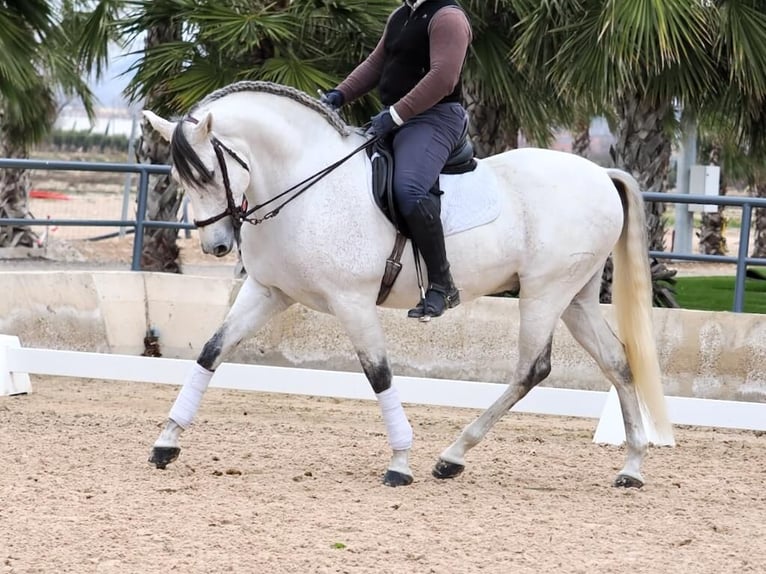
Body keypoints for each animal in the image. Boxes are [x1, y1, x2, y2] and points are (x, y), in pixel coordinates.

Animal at [142, 81, 672, 488]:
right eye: (180, 178)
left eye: (209, 174)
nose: (216, 247)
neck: (308, 187)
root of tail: (600, 172)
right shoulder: (268, 292)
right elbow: (211, 351)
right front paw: (166, 441)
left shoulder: (352, 301)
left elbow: (378, 374)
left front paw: (400, 463)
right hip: (575, 298)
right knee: (617, 363)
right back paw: (632, 467)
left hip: (544, 293)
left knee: (532, 370)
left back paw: (452, 455)